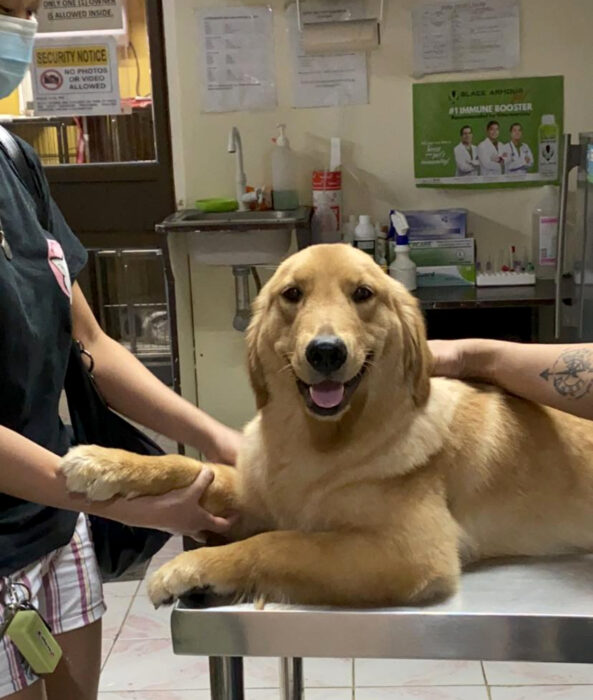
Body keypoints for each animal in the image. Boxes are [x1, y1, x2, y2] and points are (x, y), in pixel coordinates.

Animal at [59, 245, 592, 608]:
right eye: (292, 294)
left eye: (363, 294)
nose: (327, 352)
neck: (317, 442)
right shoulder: (258, 491)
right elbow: (184, 465)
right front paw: (104, 463)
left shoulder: (413, 552)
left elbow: (278, 542)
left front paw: (191, 565)